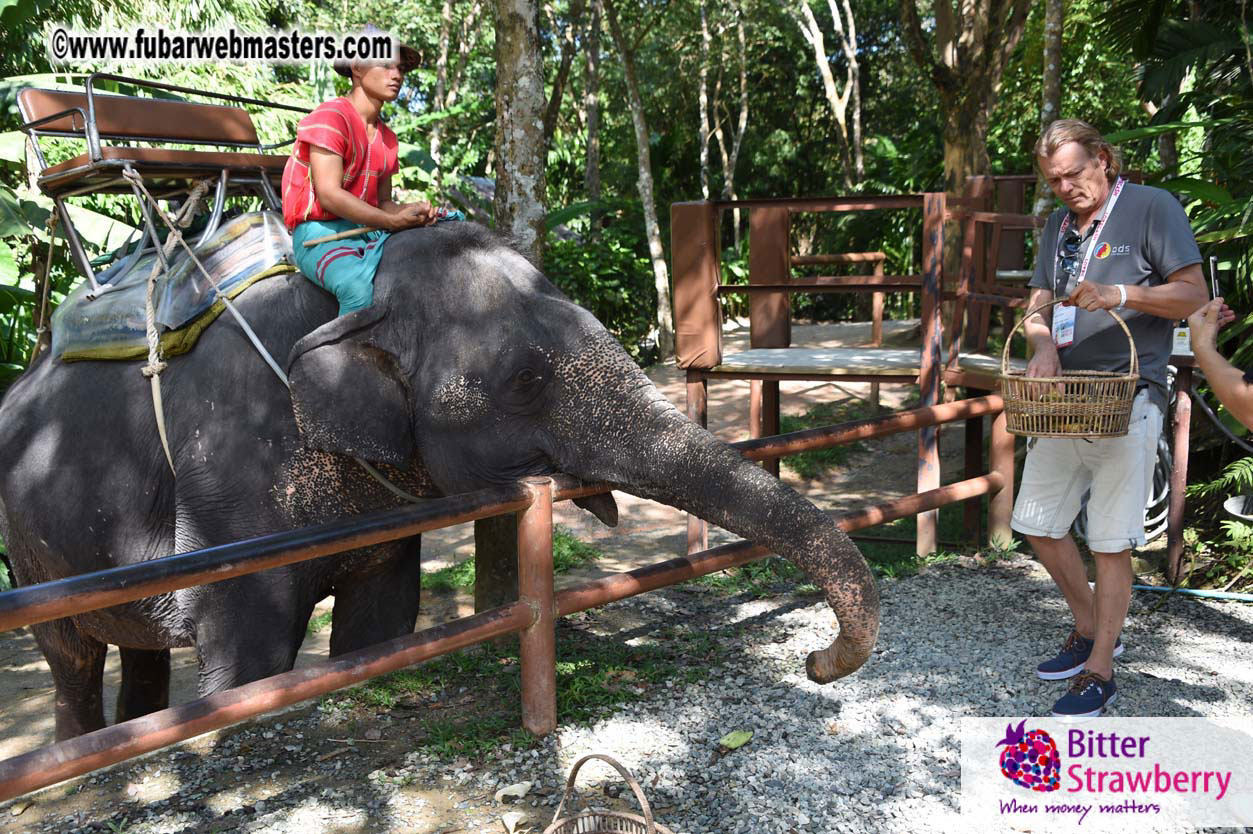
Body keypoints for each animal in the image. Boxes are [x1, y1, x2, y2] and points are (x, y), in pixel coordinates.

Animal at [0, 222, 879, 740]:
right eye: (526, 380)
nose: (815, 662)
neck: (357, 294)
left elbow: (380, 625)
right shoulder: (225, 475)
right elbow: (250, 653)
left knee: (133, 646)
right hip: (28, 544)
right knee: (70, 654)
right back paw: (87, 744)